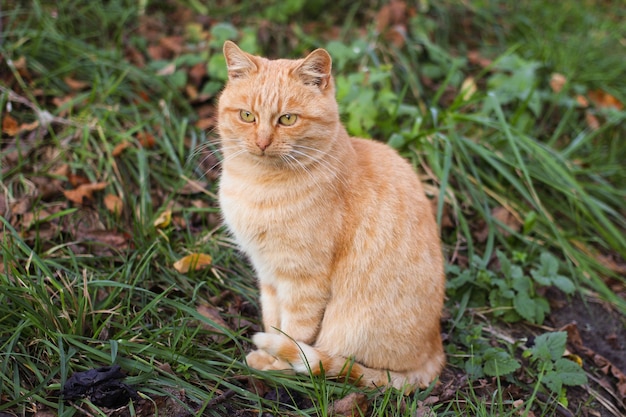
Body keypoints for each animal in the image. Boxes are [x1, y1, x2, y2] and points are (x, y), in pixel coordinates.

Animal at [217, 40, 446, 388]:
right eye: (247, 116)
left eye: (287, 119)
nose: (262, 142)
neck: (257, 183)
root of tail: (436, 350)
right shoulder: (266, 273)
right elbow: (272, 322)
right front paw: (270, 354)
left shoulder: (304, 281)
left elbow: (292, 334)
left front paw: (272, 363)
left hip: (346, 329)